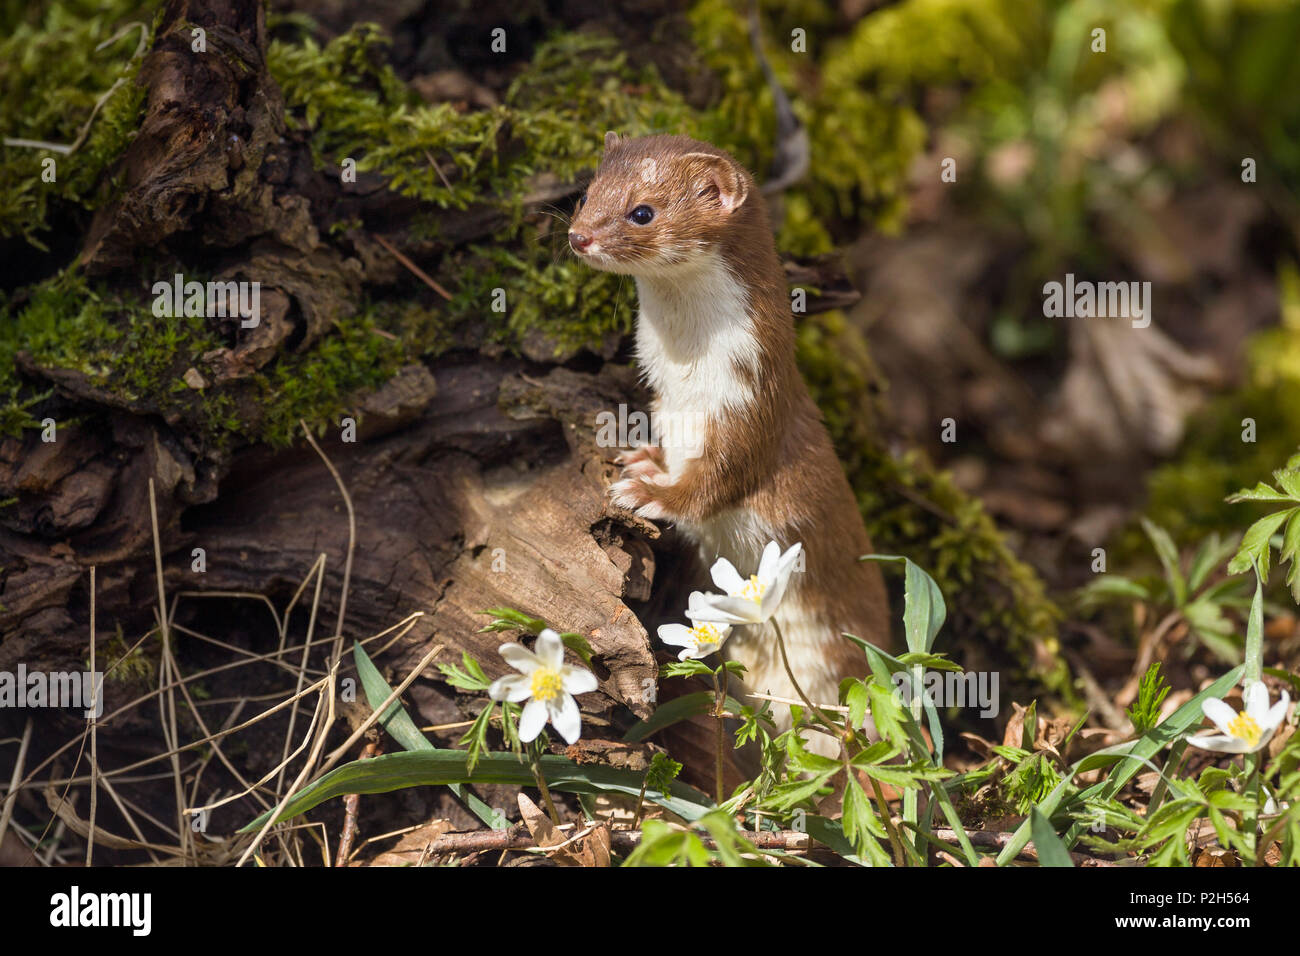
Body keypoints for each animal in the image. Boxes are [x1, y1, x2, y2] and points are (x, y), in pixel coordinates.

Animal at [572, 130, 894, 754]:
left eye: (642, 212)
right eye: (586, 193)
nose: (578, 235)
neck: (686, 379)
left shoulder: (748, 411)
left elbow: (714, 484)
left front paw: (648, 493)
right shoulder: (665, 403)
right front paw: (643, 459)